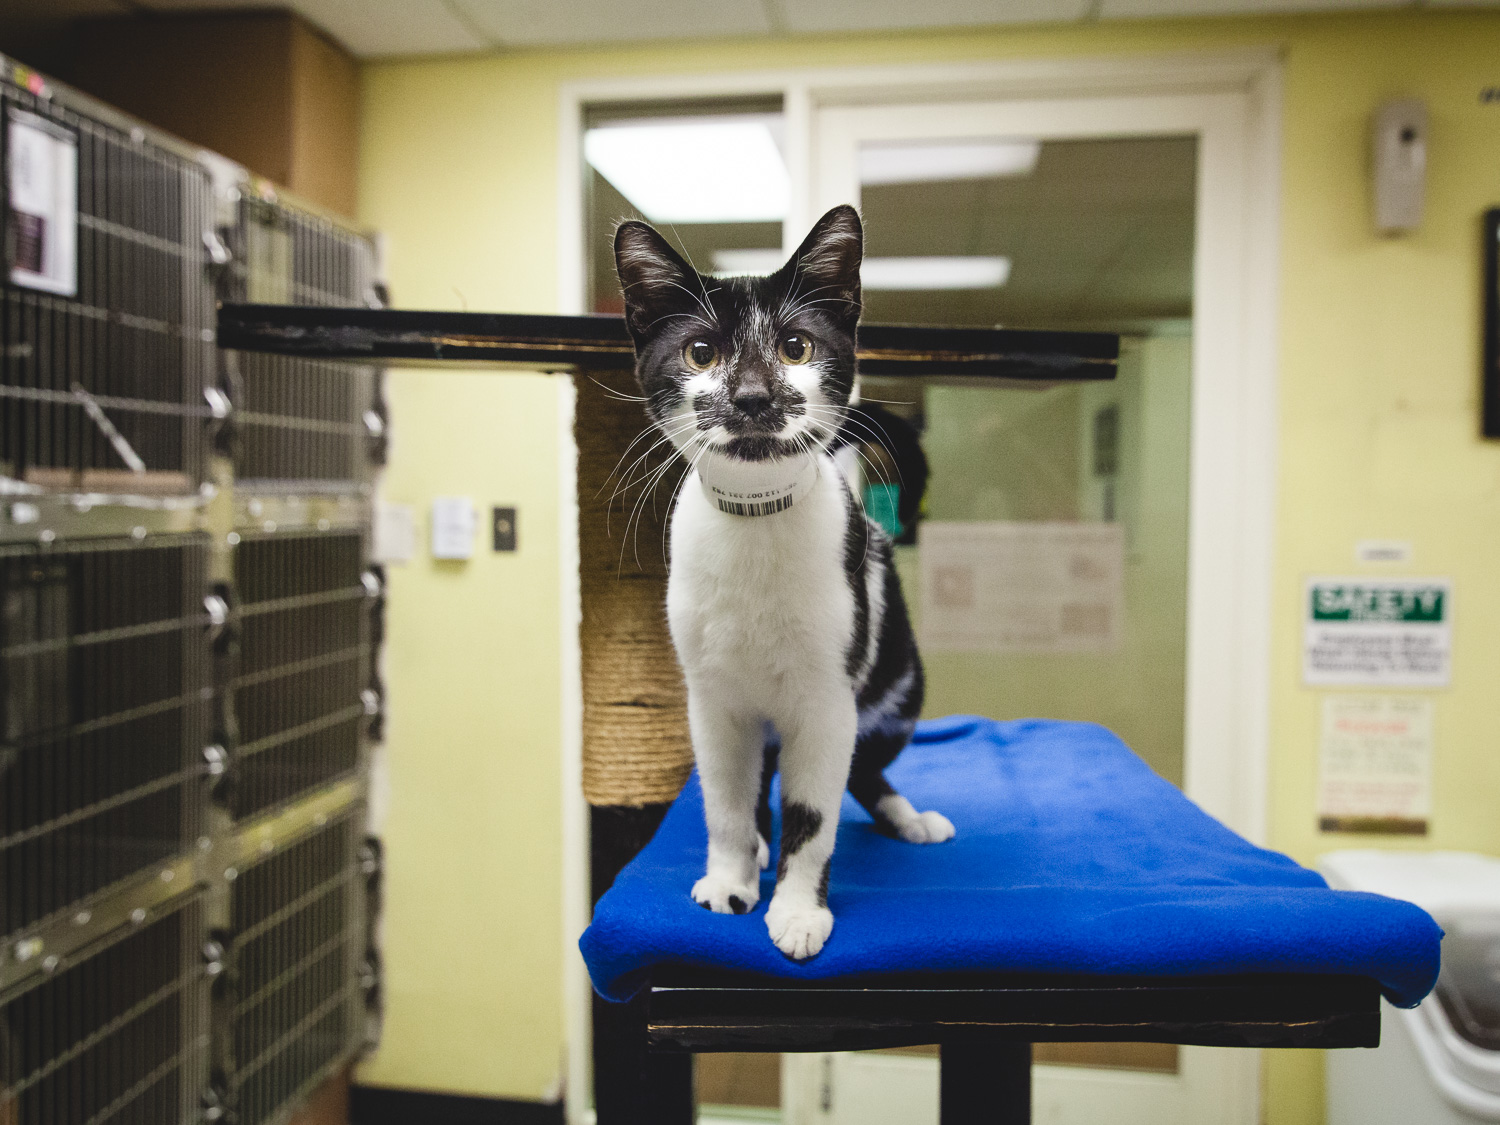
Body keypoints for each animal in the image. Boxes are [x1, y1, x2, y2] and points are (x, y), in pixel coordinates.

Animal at [612, 205, 948, 960]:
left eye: (796, 347)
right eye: (700, 353)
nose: (753, 396)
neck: (756, 524)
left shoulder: (827, 700)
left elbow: (814, 811)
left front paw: (797, 912)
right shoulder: (710, 700)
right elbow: (727, 802)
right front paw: (731, 878)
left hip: (898, 682)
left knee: (865, 765)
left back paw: (907, 817)